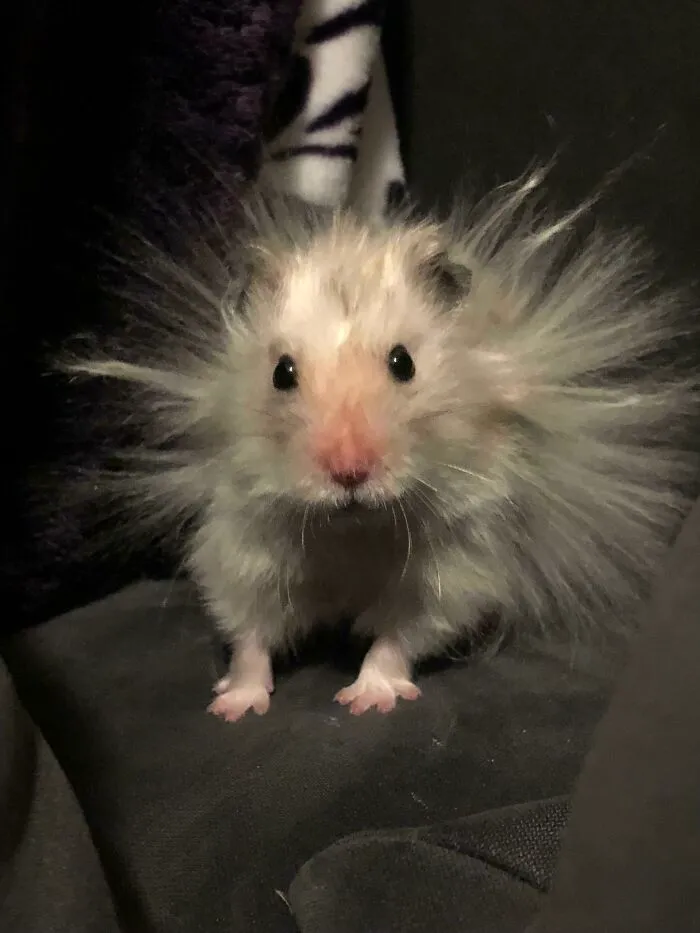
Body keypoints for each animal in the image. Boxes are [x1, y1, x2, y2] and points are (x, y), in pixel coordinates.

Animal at [64, 169, 699, 721]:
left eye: (403, 363)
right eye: (282, 373)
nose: (350, 472)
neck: (353, 529)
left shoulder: (451, 569)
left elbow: (398, 637)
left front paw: (366, 700)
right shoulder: (243, 548)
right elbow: (249, 635)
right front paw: (232, 708)